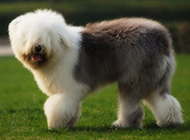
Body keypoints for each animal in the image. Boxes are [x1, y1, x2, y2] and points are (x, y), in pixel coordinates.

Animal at [8, 8, 183, 129]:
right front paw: (69, 123)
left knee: (132, 105)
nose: (38, 47)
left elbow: (59, 106)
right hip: (156, 77)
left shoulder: (70, 87)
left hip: (133, 77)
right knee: (164, 99)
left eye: (48, 35)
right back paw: (170, 122)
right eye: (27, 36)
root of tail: (163, 36)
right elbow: (72, 108)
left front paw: (55, 124)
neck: (58, 53)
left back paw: (123, 124)